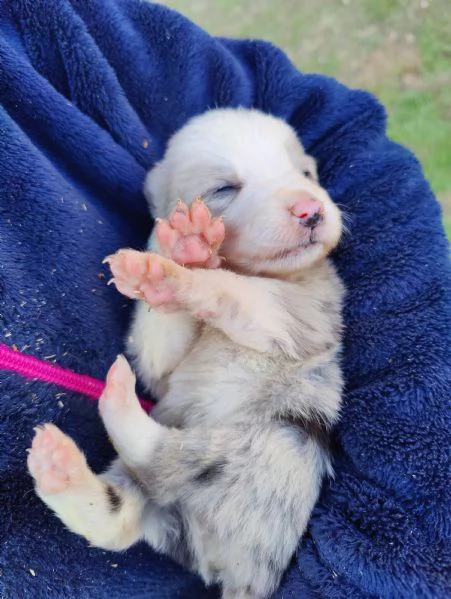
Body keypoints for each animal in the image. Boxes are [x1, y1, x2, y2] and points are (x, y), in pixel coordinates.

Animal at [27, 109, 346, 599]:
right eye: (225, 188)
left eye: (305, 173)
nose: (311, 210)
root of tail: (228, 568)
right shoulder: (162, 368)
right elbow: (161, 337)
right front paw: (176, 252)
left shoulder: (297, 314)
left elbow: (236, 291)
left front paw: (180, 272)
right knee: (120, 519)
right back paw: (61, 467)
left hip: (269, 446)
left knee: (162, 459)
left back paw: (115, 405)